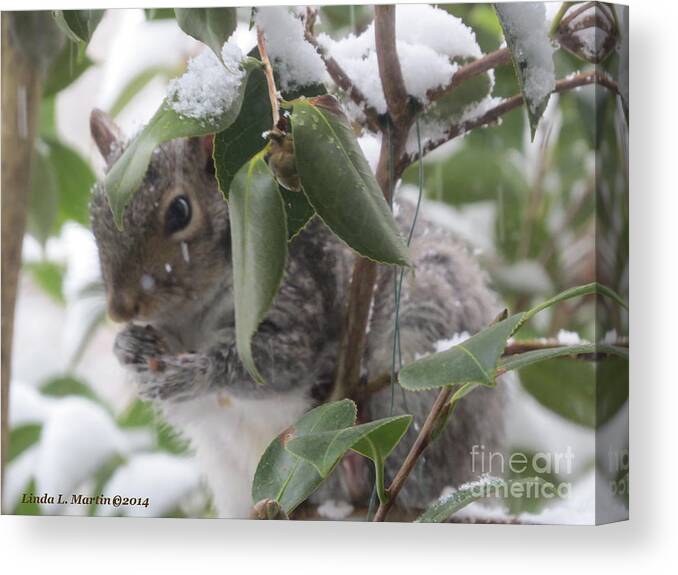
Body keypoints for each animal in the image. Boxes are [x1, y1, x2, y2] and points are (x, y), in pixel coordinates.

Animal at [89, 107, 504, 516]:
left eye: (180, 211)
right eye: (95, 216)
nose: (119, 310)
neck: (192, 315)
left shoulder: (296, 296)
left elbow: (278, 362)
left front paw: (193, 373)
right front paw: (129, 346)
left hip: (421, 347)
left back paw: (358, 471)